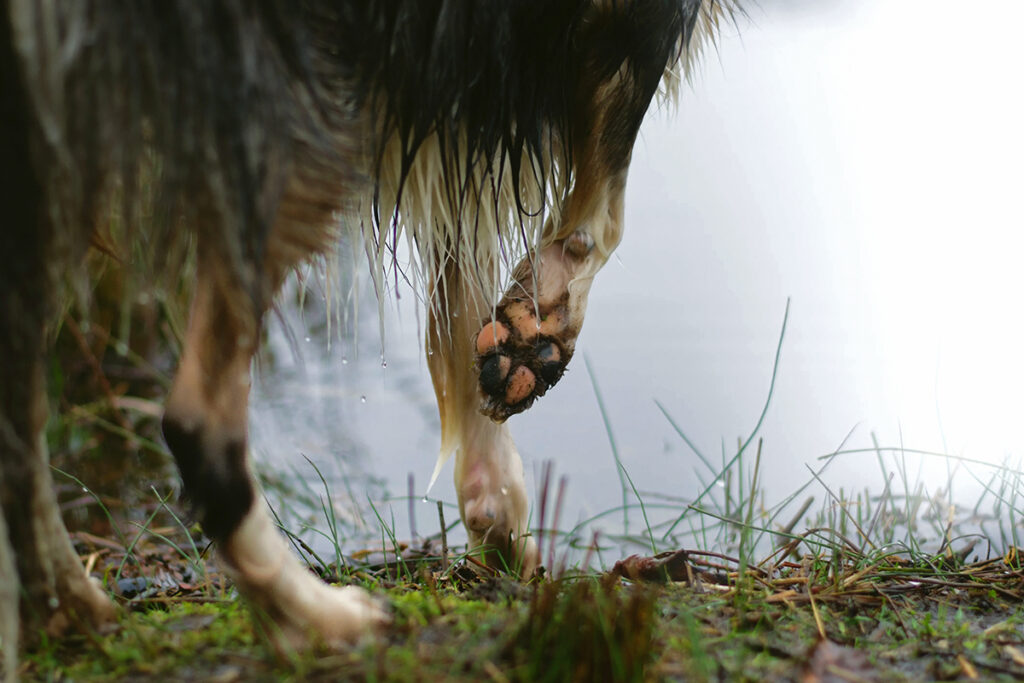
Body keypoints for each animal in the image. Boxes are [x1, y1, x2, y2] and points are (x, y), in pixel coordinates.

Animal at [0, 0, 737, 671]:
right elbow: (606, 204)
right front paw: (539, 330)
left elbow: (465, 288)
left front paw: (501, 512)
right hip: (301, 110)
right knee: (195, 419)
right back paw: (316, 619)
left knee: (21, 421)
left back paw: (73, 607)